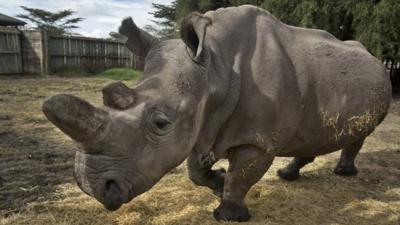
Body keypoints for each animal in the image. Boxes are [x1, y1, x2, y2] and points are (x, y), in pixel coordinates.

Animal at [43, 4, 390, 221]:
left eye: (160, 123)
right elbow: (195, 171)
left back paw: (343, 173)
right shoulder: (203, 122)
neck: (215, 68)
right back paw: (288, 175)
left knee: (361, 133)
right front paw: (218, 182)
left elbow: (242, 175)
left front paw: (229, 214)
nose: (92, 188)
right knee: (310, 133)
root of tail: (373, 57)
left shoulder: (257, 138)